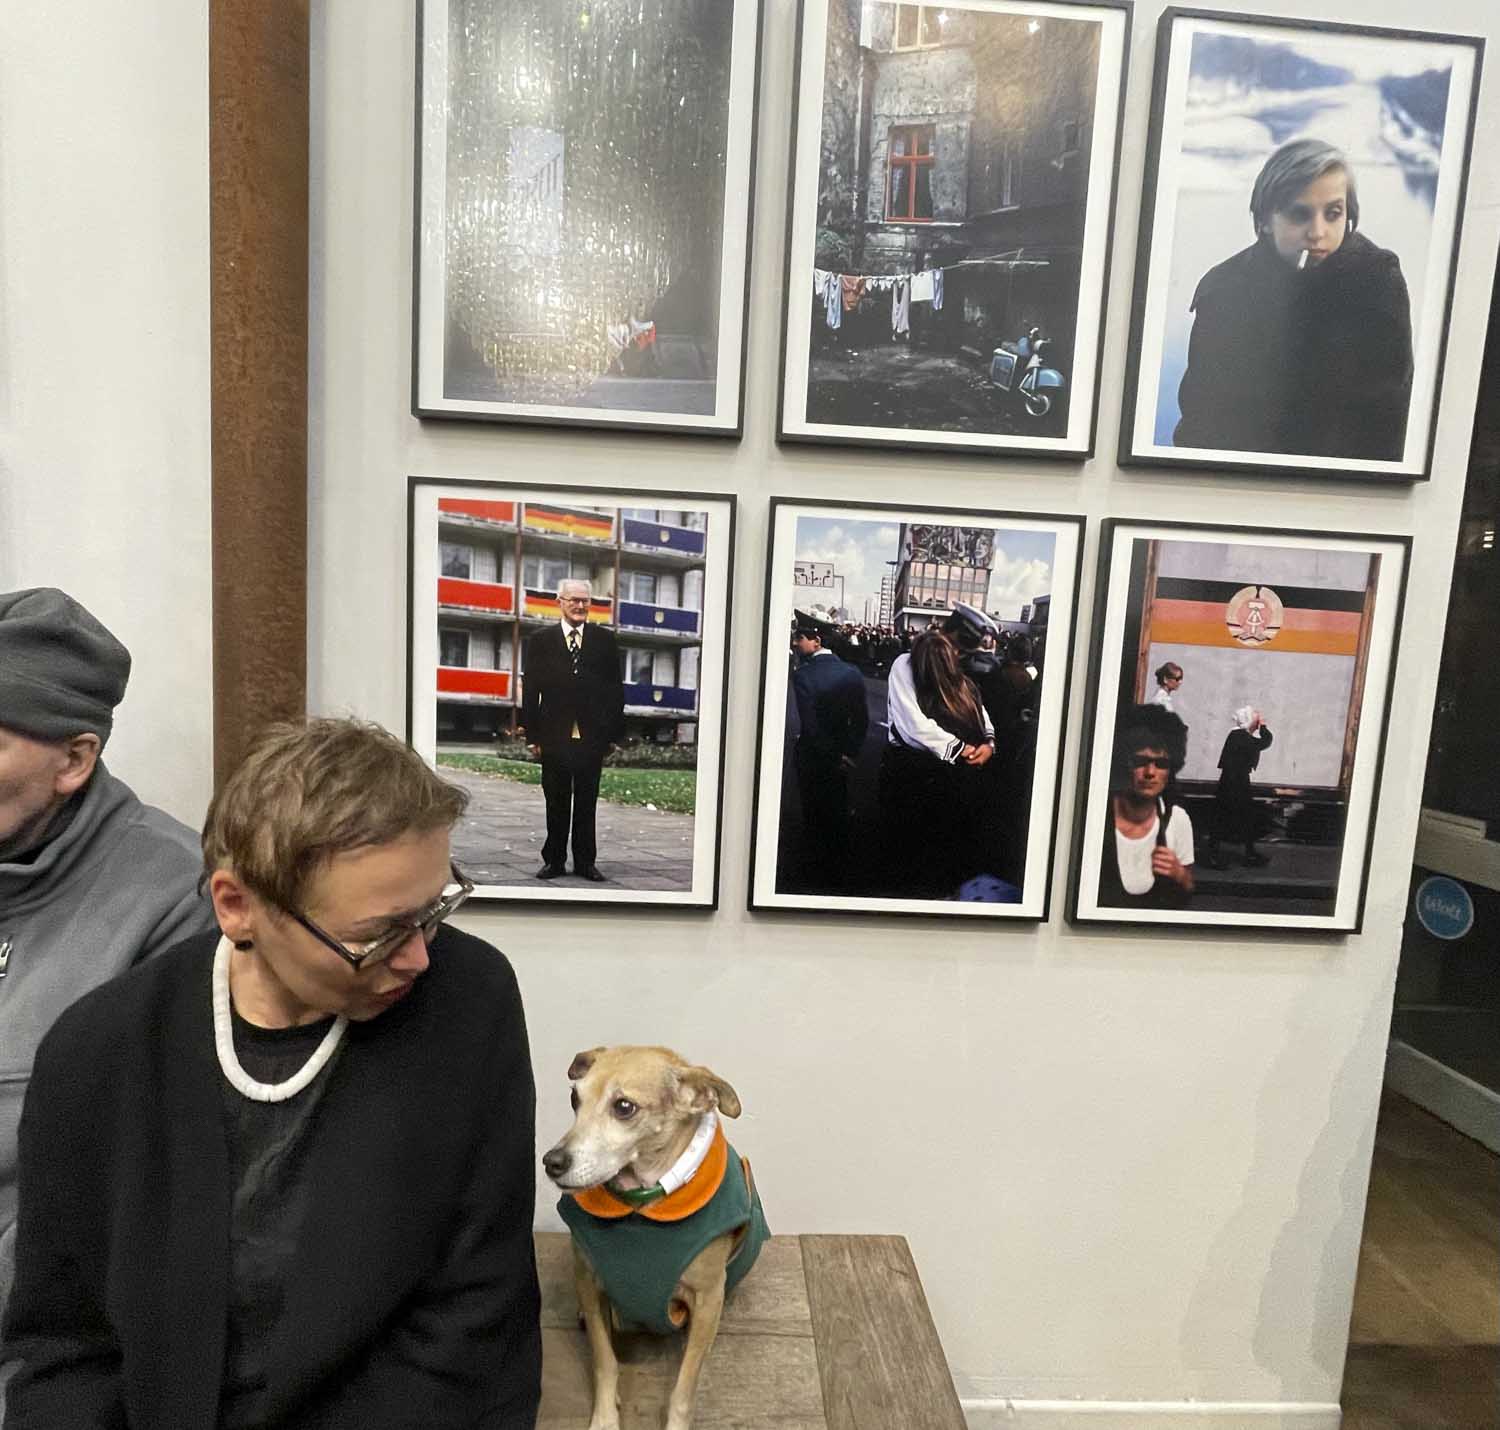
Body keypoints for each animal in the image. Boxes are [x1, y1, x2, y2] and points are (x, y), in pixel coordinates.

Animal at [542, 1045, 769, 1430]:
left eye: (624, 1106)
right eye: (574, 1098)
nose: (551, 1162)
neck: (640, 1206)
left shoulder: (707, 1299)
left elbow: (683, 1389)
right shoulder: (588, 1279)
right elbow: (605, 1360)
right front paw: (605, 1419)